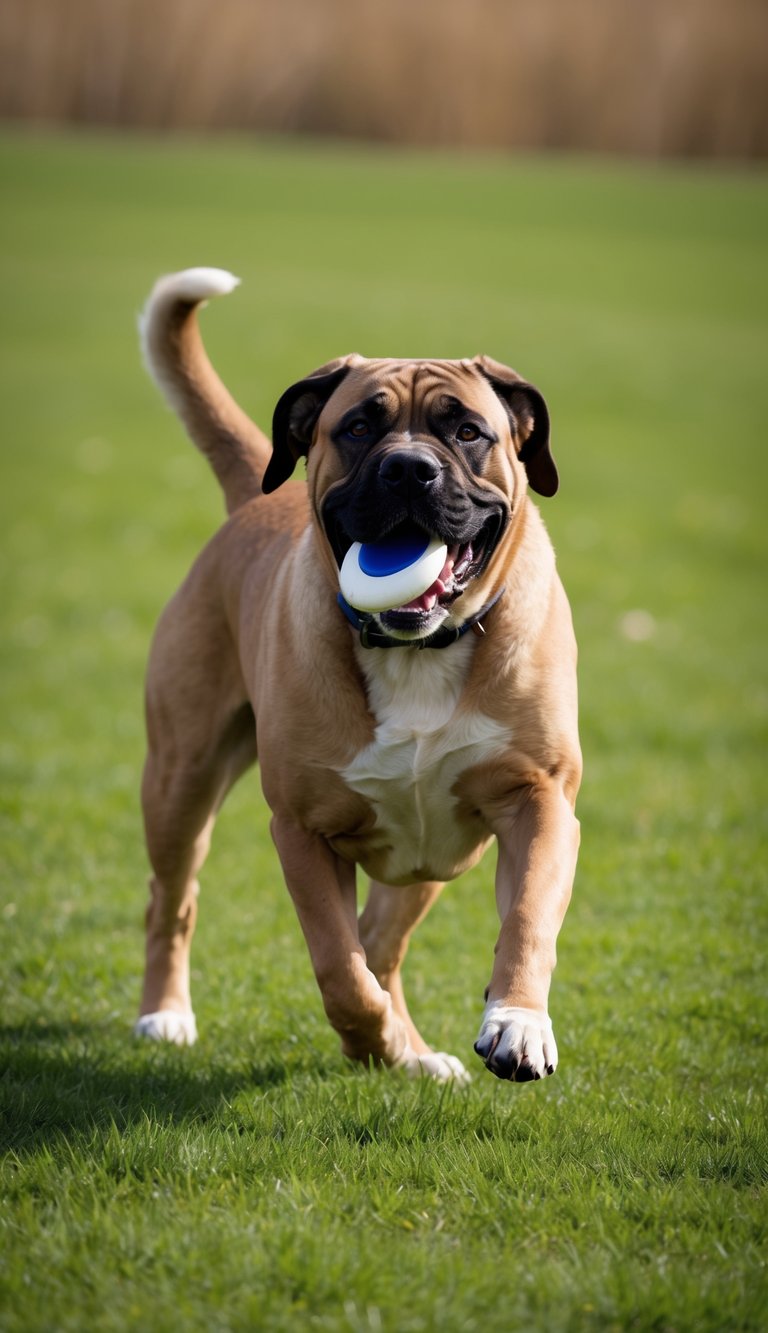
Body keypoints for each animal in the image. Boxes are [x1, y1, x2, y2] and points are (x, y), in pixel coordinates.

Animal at [134, 267, 581, 1083]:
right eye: (358, 428)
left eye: (468, 431)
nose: (409, 467)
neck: (418, 650)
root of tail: (260, 497)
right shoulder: (303, 830)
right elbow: (340, 967)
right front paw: (370, 1039)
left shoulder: (541, 798)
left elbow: (529, 917)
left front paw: (517, 1023)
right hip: (181, 780)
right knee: (174, 902)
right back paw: (167, 1013)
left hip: (433, 856)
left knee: (384, 939)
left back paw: (414, 1050)